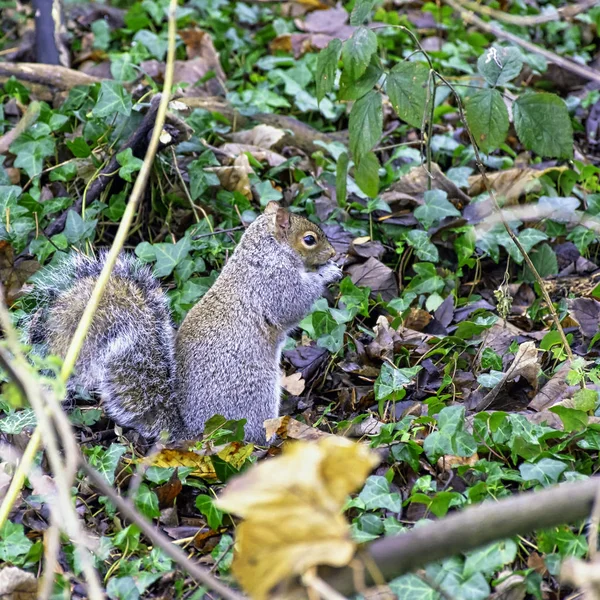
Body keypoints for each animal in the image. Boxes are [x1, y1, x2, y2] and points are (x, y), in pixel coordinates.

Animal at [27, 204, 342, 442]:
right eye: (310, 239)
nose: (333, 253)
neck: (267, 252)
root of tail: (193, 431)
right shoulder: (273, 284)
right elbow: (294, 303)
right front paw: (327, 273)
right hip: (256, 394)